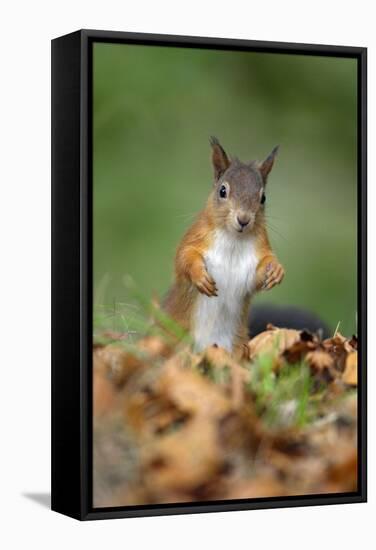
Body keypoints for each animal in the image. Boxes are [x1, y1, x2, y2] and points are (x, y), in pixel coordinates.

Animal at [164, 137, 284, 354]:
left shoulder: (253, 260)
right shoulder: (195, 238)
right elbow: (184, 257)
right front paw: (200, 276)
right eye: (222, 191)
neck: (233, 239)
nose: (243, 220)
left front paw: (276, 270)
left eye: (263, 198)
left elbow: (256, 276)